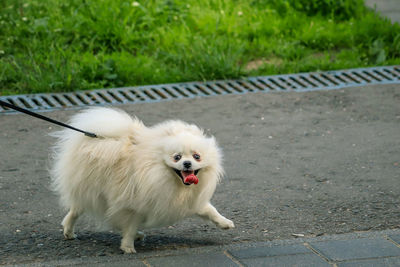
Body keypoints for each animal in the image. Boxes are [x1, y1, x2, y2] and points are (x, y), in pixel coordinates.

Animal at [49, 108, 234, 254]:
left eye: (197, 156)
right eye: (177, 157)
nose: (187, 163)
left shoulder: (186, 200)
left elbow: (209, 210)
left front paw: (224, 223)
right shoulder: (134, 204)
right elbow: (130, 226)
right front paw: (127, 247)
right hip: (93, 189)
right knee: (76, 210)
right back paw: (69, 231)